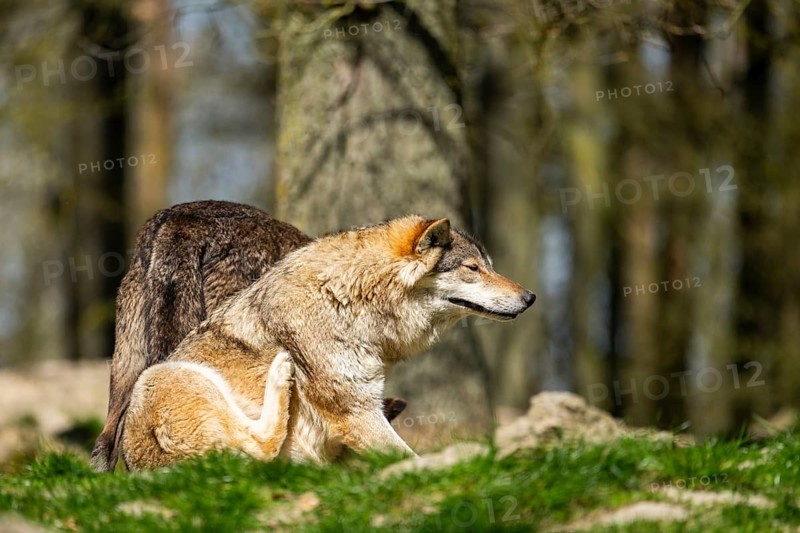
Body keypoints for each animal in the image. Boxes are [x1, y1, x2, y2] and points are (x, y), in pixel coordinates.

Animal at [121, 215, 535, 468]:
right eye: (473, 269)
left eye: (489, 266)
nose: (531, 297)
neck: (348, 299)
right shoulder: (357, 414)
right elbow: (410, 457)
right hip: (162, 376)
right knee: (262, 446)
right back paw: (281, 372)